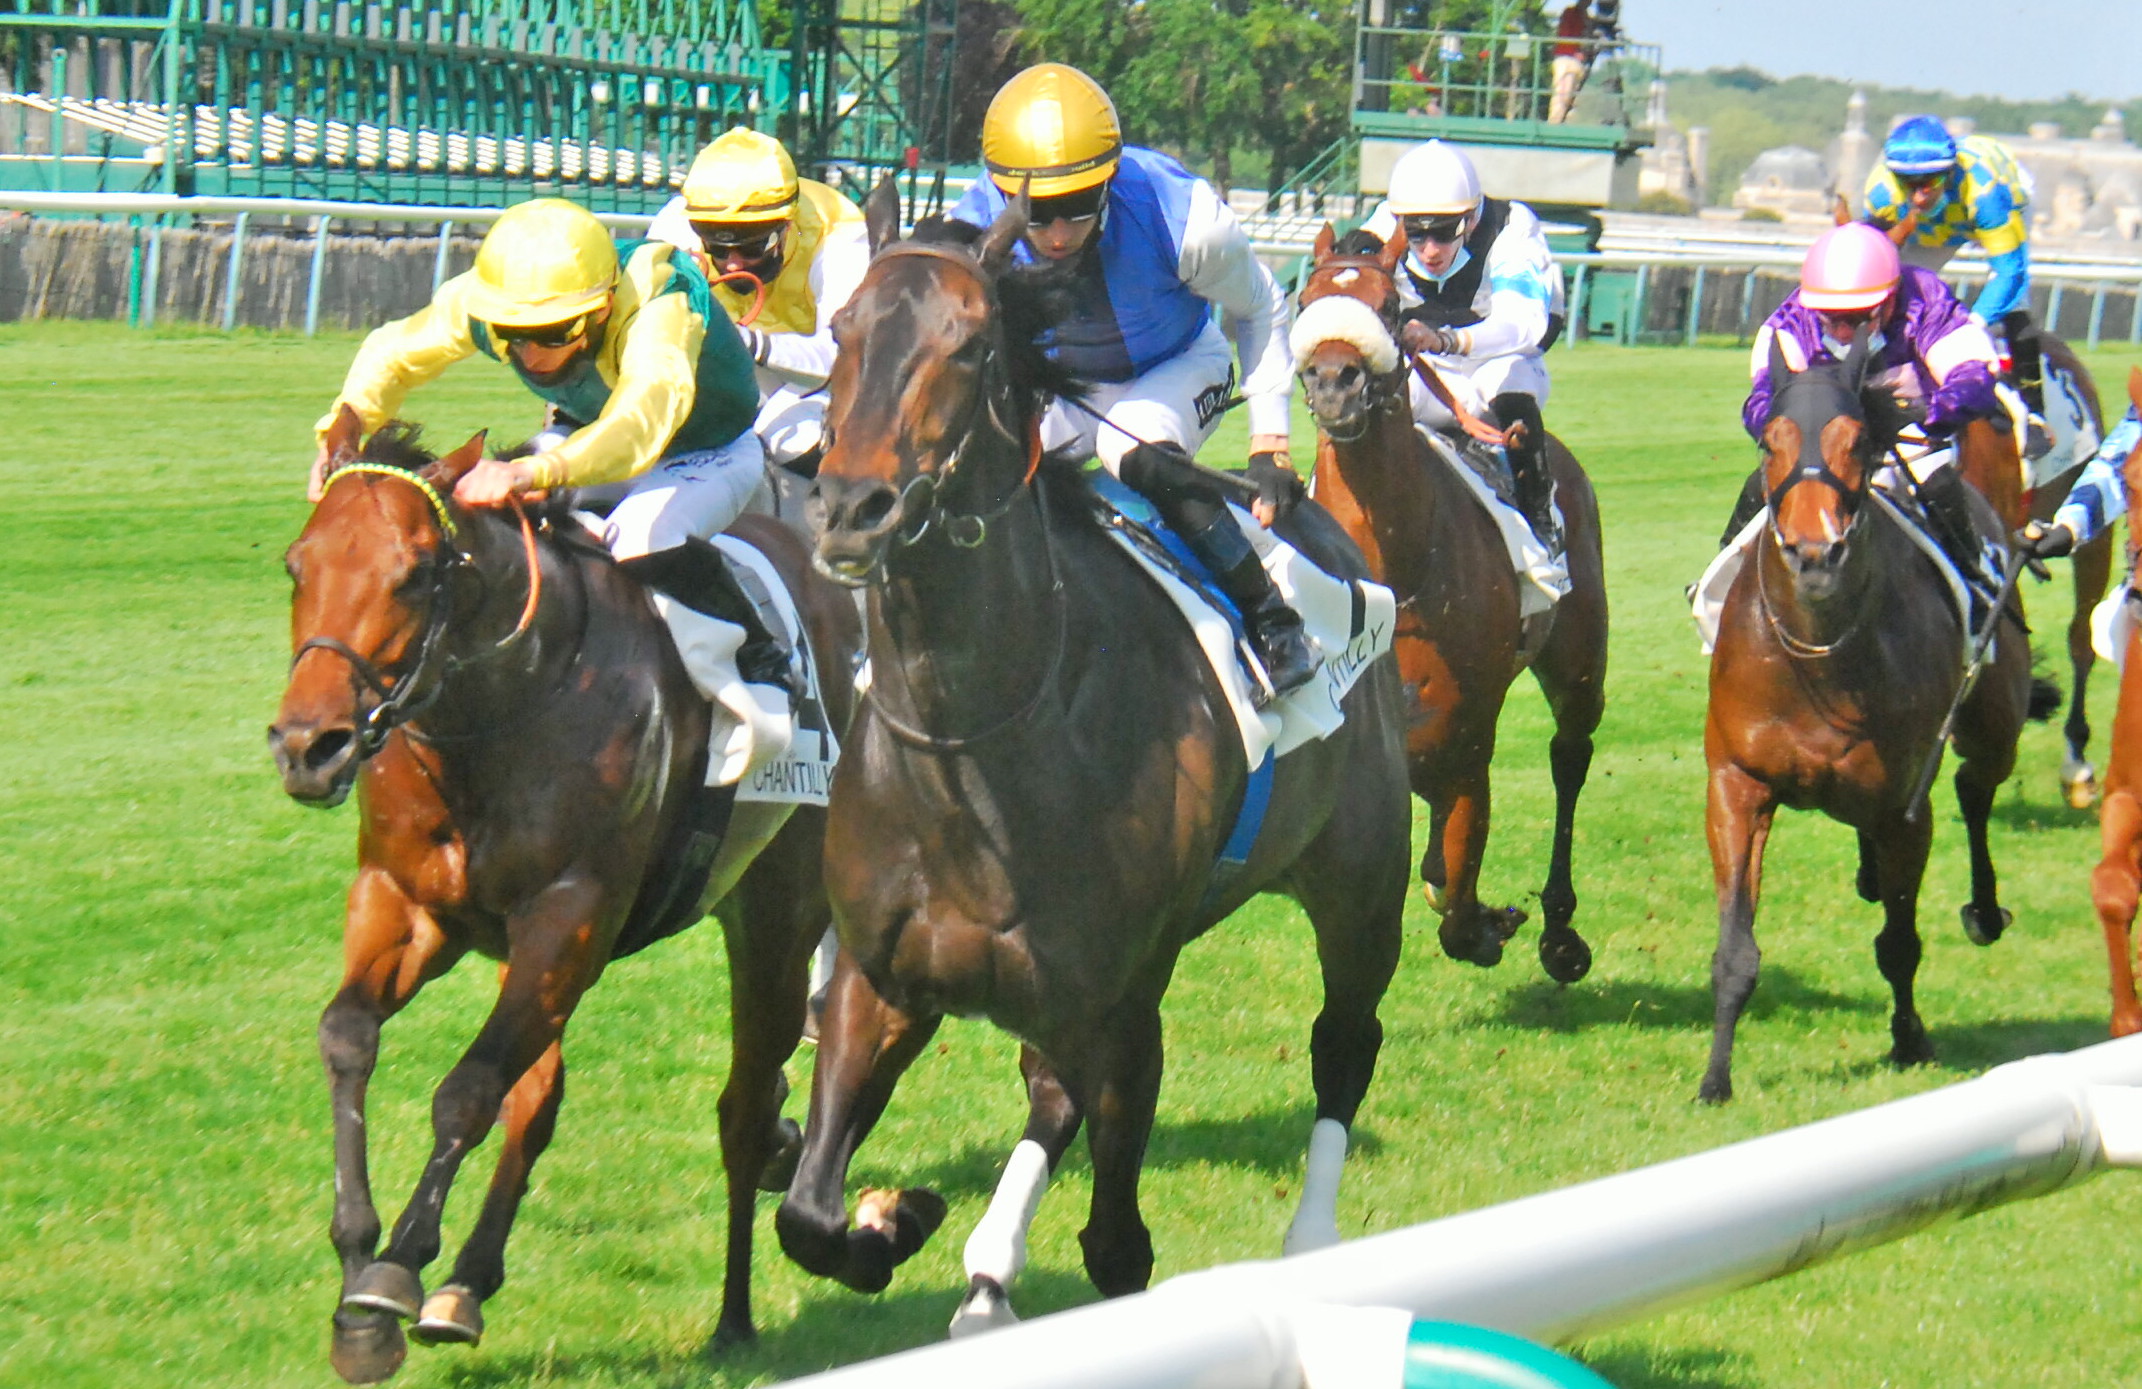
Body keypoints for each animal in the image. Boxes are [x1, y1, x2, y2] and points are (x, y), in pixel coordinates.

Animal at [272, 422, 856, 1380]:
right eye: (297, 564)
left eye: (414, 574)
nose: (306, 746)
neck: (500, 704)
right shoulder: (410, 905)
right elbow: (349, 1036)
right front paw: (359, 1266)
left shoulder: (568, 912)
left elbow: (468, 1090)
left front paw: (394, 1272)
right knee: (541, 1088)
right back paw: (467, 1282)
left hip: (772, 911)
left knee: (741, 1103)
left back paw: (735, 1309)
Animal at [779, 178, 1413, 1328]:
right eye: (843, 329)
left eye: (971, 345)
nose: (851, 507)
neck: (984, 741)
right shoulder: (877, 983)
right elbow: (807, 1214)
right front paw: (897, 1221)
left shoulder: (1121, 1010)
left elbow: (1119, 1251)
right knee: (1048, 1094)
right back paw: (987, 1272)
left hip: (1361, 887)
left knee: (1344, 1044)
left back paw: (1308, 1243)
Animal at [1285, 228, 1610, 981]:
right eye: (1307, 299)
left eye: (1391, 305)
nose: (1335, 381)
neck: (1395, 574)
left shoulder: (1465, 751)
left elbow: (1458, 909)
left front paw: (1493, 922)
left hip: (1579, 662)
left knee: (1570, 757)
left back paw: (1559, 930)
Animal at [1696, 330, 2030, 1097]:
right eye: (1772, 442)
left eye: (1856, 441)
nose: (1815, 554)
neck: (1819, 657)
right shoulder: (1737, 784)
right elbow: (1736, 950)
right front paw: (1715, 1078)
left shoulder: (1902, 809)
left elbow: (1900, 943)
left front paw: (1909, 1037)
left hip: (1997, 720)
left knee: (1975, 785)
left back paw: (1983, 909)